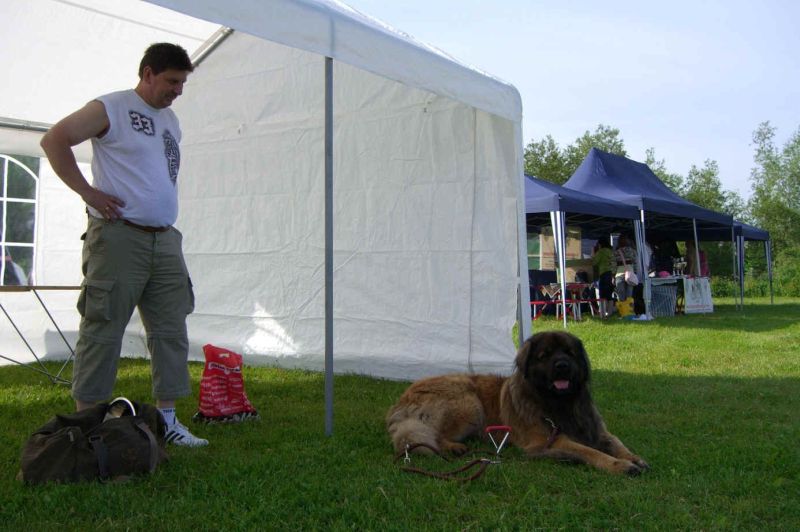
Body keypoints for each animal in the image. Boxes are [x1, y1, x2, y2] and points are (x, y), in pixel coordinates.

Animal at [386, 331, 649, 475]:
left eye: (569, 353)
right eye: (545, 355)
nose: (562, 366)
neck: (558, 404)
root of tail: (402, 400)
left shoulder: (598, 430)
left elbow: (616, 442)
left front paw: (634, 458)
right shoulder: (550, 440)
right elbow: (591, 452)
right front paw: (620, 466)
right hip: (469, 403)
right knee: (431, 436)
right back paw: (453, 447)